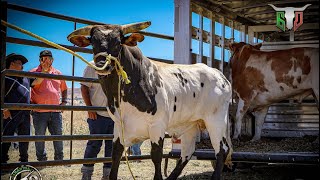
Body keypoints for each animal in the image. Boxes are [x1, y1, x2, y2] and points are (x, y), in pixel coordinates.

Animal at [67, 21, 232, 180]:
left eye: (118, 43)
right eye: (93, 42)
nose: (102, 65)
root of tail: (219, 75)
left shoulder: (157, 126)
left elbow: (156, 156)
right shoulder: (119, 127)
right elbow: (116, 155)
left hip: (215, 120)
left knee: (222, 150)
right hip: (190, 124)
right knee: (187, 152)